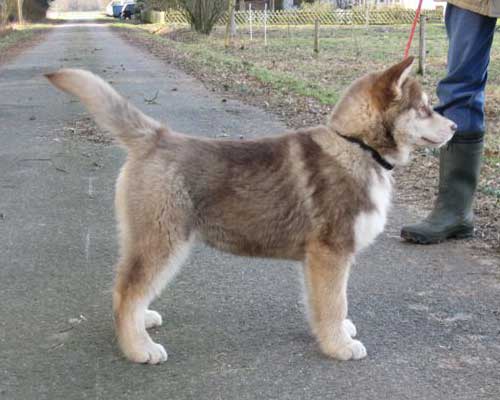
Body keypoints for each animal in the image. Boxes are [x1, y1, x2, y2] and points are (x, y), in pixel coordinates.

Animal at [46, 57, 456, 364]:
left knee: (131, 288)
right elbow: (334, 301)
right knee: (125, 293)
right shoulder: (331, 253)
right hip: (162, 240)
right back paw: (138, 349)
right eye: (423, 109)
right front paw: (339, 346)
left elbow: (322, 303)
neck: (357, 146)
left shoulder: (318, 260)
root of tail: (156, 138)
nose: (454, 126)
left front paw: (334, 334)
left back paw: (142, 323)